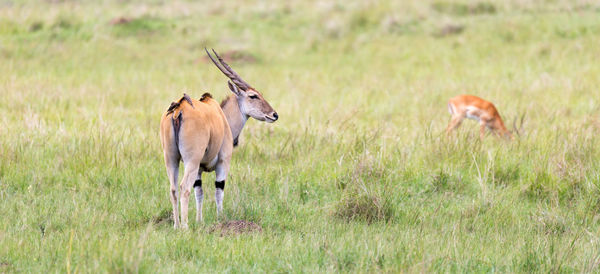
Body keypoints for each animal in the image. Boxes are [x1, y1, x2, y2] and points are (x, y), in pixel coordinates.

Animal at [161, 48, 280, 228]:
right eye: (253, 96)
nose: (274, 115)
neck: (221, 116)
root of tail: (178, 109)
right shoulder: (223, 162)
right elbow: (219, 190)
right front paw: (221, 220)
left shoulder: (199, 170)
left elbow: (199, 192)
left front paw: (200, 220)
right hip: (190, 161)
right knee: (184, 188)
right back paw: (185, 227)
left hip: (171, 160)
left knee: (173, 189)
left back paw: (176, 225)